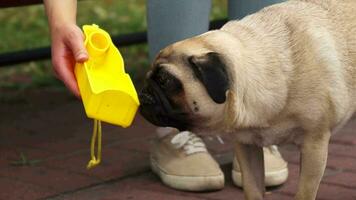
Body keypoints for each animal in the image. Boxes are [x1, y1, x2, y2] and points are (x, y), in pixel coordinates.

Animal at [138, 0, 356, 199]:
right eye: (149, 77)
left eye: (165, 80)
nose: (143, 93)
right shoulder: (247, 145)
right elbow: (252, 188)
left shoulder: (314, 145)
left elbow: (304, 193)